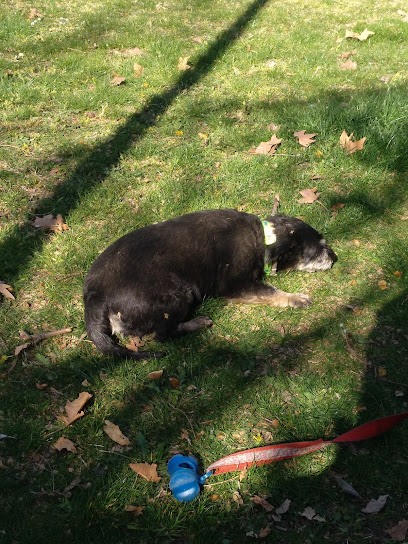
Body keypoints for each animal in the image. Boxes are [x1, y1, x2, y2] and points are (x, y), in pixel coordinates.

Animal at [83, 210, 334, 360]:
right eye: (318, 250)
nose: (334, 257)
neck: (262, 239)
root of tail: (94, 298)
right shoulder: (236, 285)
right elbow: (271, 292)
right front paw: (296, 298)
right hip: (178, 293)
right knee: (163, 334)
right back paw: (198, 323)